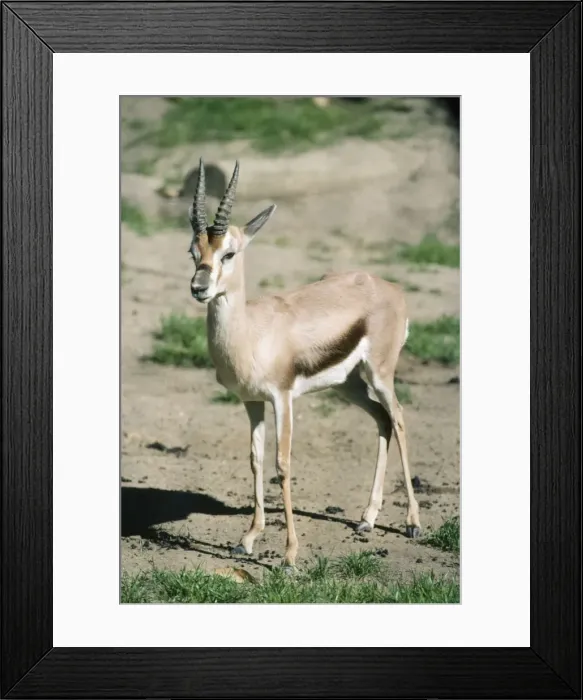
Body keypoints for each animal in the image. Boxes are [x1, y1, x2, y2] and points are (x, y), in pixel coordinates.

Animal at [189, 159, 421, 569]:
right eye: (192, 250)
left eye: (228, 253)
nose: (199, 288)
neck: (251, 333)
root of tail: (389, 287)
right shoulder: (251, 401)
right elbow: (255, 460)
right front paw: (247, 540)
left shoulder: (282, 398)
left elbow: (282, 466)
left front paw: (289, 555)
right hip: (348, 383)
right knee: (382, 419)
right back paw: (367, 519)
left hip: (380, 374)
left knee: (399, 418)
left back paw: (412, 523)